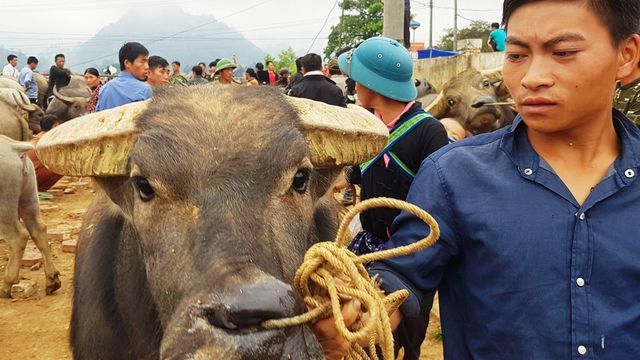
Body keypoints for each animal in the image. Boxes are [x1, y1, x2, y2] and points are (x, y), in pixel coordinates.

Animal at [0, 135, 60, 298]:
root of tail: (14, 148)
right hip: (29, 195)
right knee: (39, 229)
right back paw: (52, 281)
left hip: (4, 206)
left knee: (18, 237)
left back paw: (6, 286)